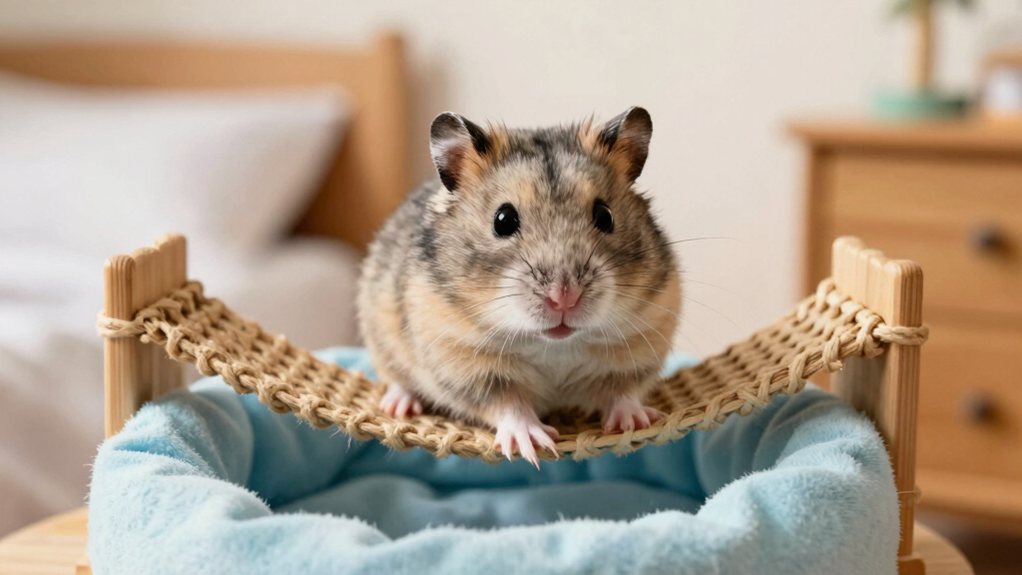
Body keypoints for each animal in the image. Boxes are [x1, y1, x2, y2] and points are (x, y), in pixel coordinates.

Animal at [357, 107, 680, 466]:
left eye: (605, 216)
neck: (553, 345)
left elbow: (622, 391)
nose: (564, 298)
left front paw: (637, 422)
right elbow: (508, 403)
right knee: (397, 378)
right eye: (503, 220)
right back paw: (399, 406)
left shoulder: (644, 334)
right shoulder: (462, 358)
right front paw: (534, 444)